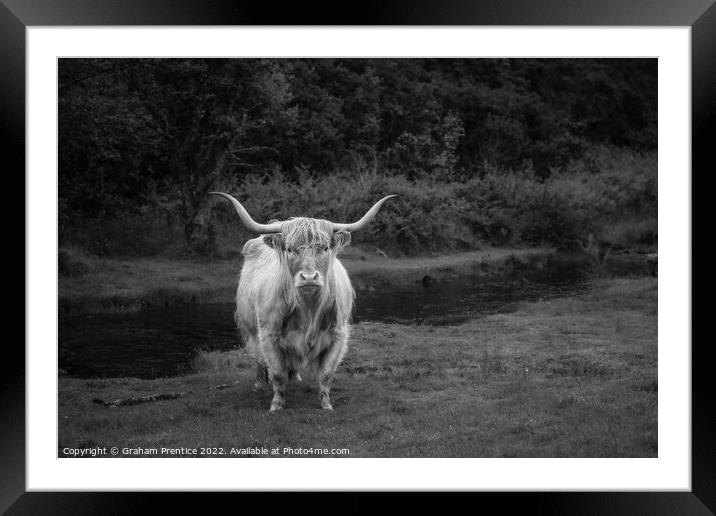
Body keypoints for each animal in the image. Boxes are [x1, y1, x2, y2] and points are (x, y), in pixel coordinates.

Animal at [211, 192, 398, 412]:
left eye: (324, 248)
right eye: (290, 249)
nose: (309, 277)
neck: (309, 309)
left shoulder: (338, 335)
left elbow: (326, 374)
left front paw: (326, 405)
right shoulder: (269, 334)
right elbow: (277, 373)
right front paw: (276, 405)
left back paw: (296, 378)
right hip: (251, 328)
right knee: (258, 357)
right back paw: (259, 384)